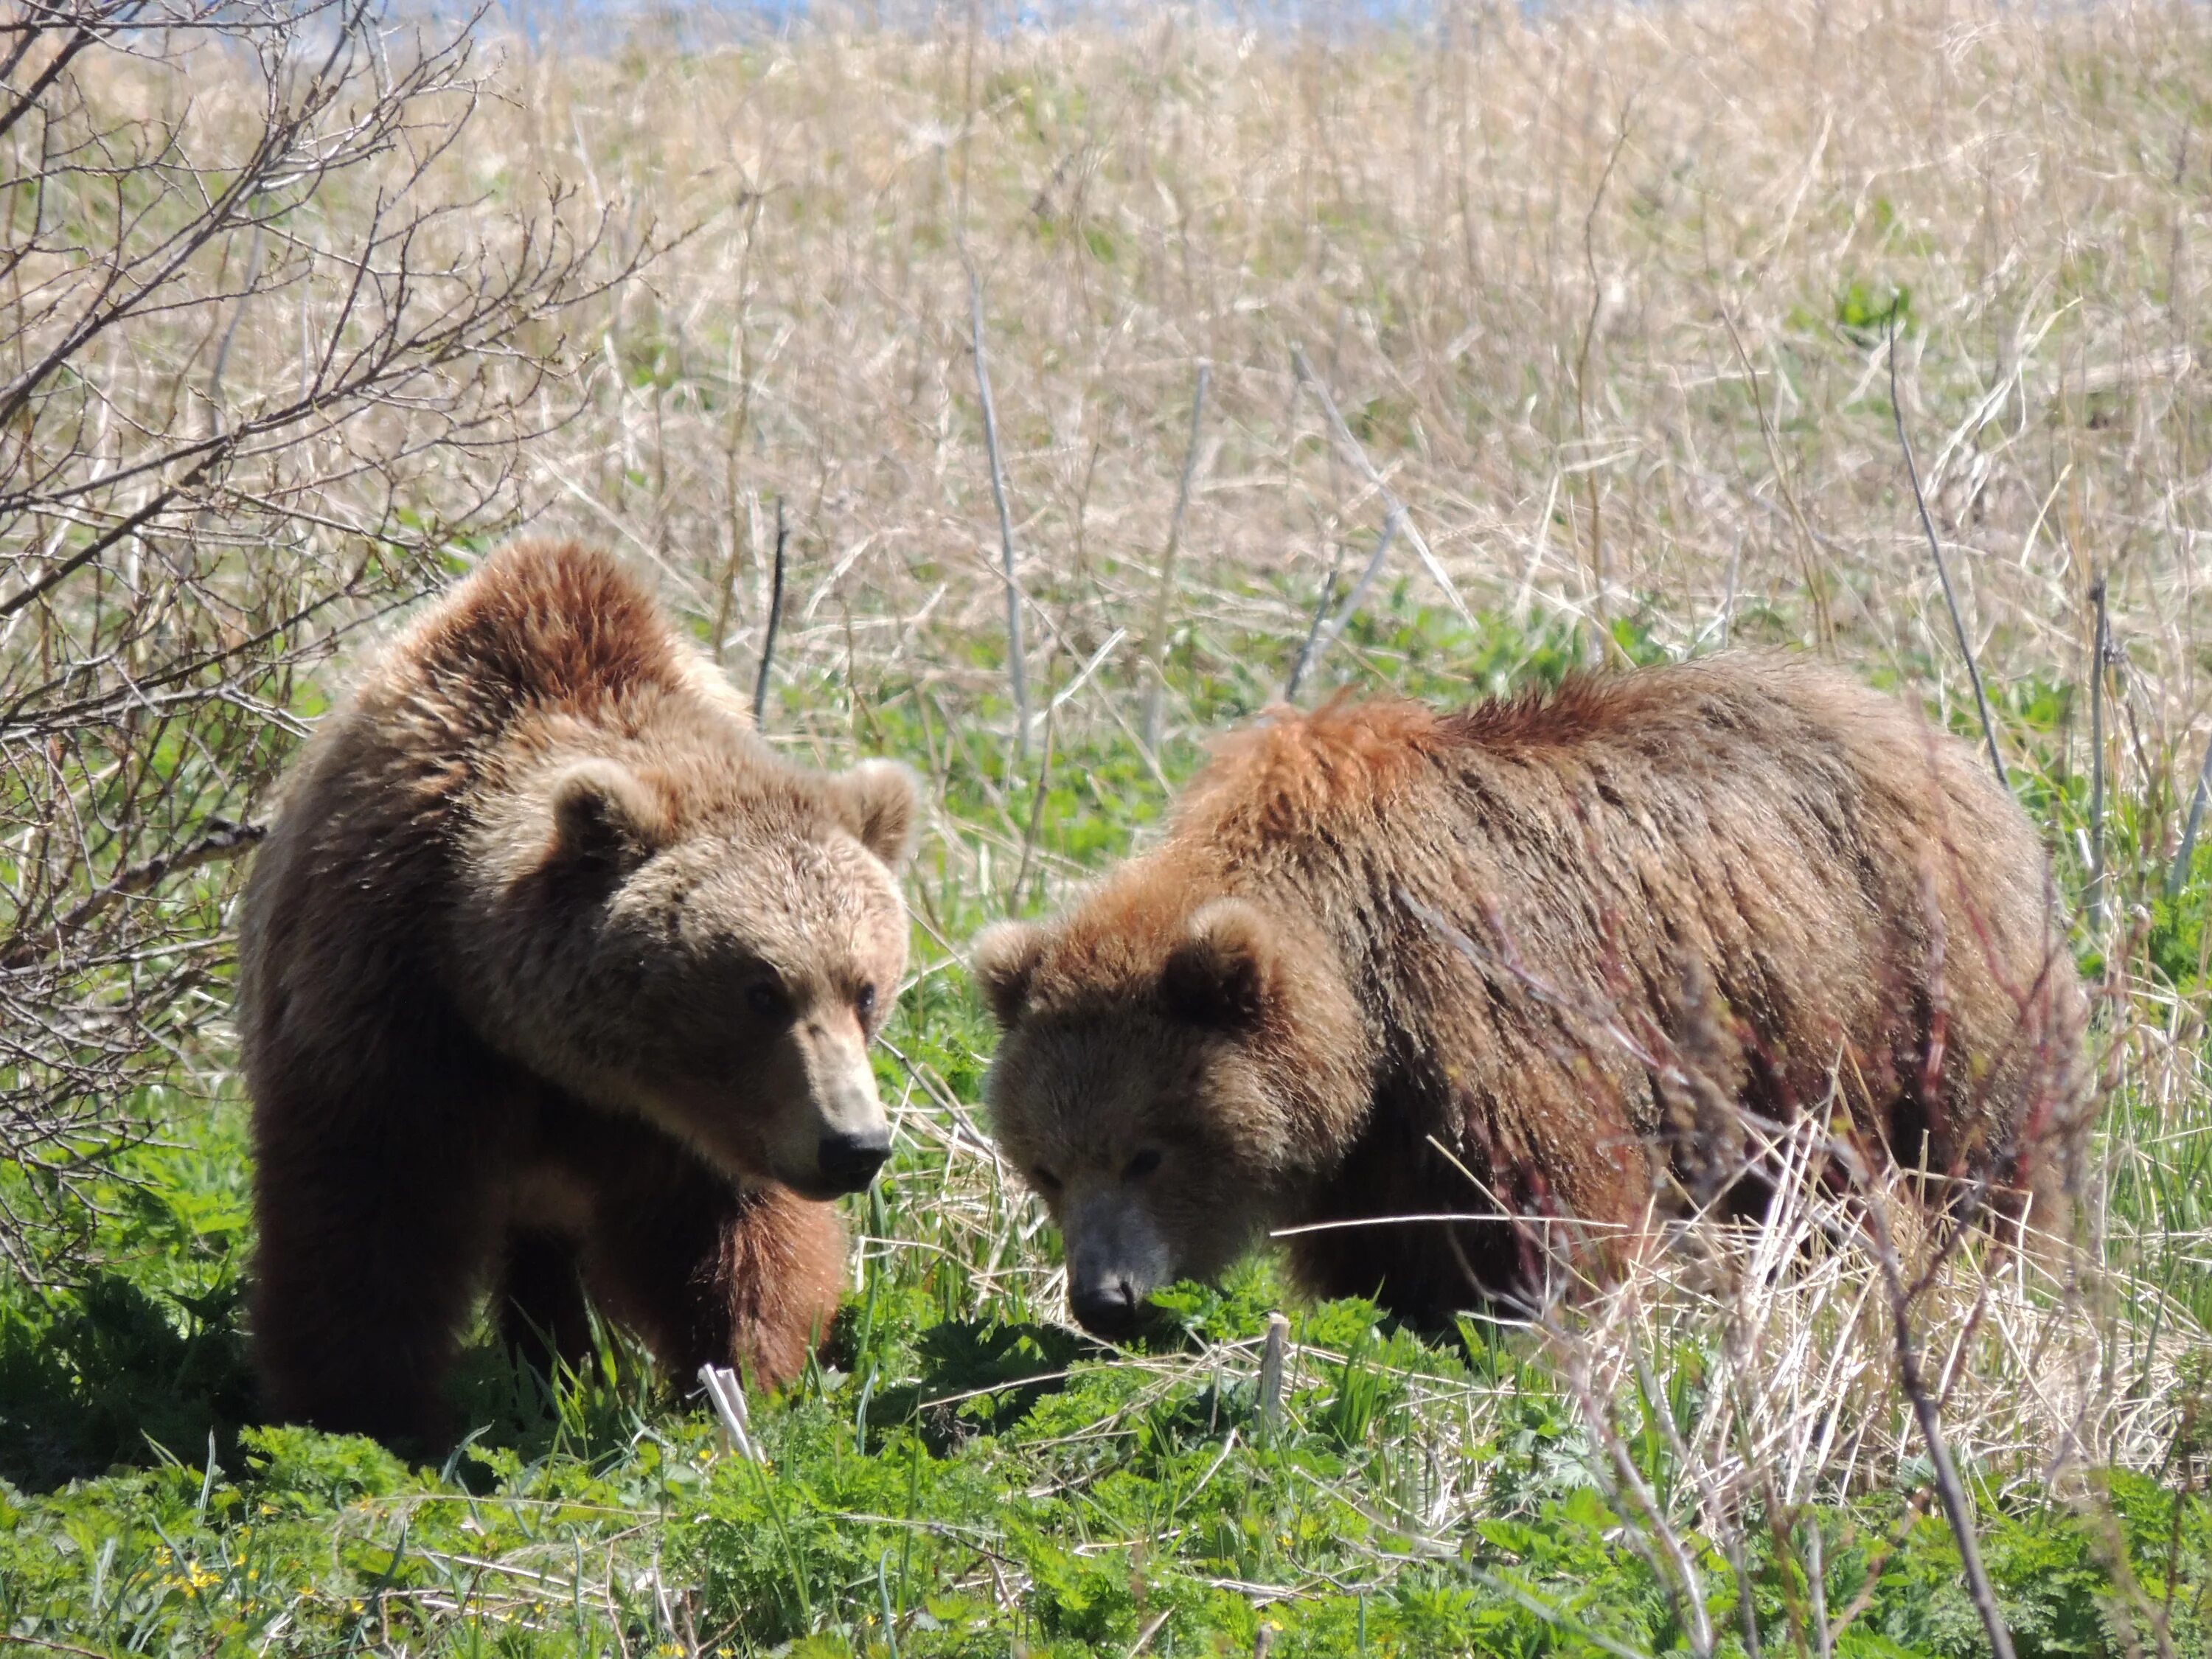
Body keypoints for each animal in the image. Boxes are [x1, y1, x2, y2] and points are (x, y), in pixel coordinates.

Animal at [244, 540, 925, 1451]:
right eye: (760, 991)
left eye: (865, 989)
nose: (854, 1146)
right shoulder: (390, 1002)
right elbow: (368, 1213)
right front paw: (367, 1414)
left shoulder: (697, 1132)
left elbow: (731, 1246)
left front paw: (745, 1382)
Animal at [987, 655, 2088, 1336]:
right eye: (1045, 1167)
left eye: (1148, 1151)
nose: (1103, 1297)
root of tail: (1930, 730)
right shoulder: (1374, 1145)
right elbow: (1387, 1251)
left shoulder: (1489, 1009)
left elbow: (1561, 1201)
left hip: (1904, 976)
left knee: (1976, 1154)